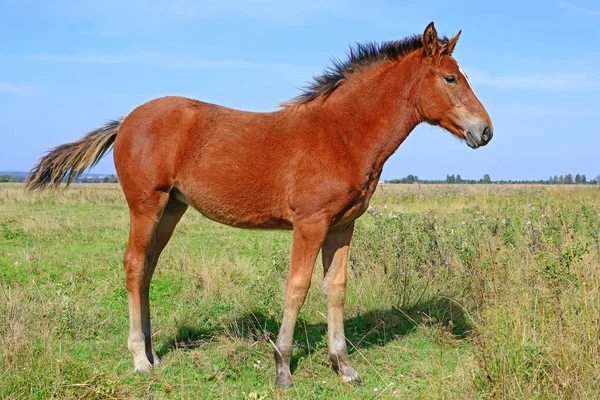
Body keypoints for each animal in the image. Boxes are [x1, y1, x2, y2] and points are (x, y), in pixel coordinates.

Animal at [25, 22, 492, 388]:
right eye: (451, 79)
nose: (485, 131)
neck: (342, 133)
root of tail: (125, 121)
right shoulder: (310, 223)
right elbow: (297, 287)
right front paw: (282, 367)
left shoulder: (343, 226)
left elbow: (336, 289)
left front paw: (344, 366)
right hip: (146, 205)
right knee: (134, 265)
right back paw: (140, 357)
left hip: (173, 208)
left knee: (148, 268)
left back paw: (155, 353)